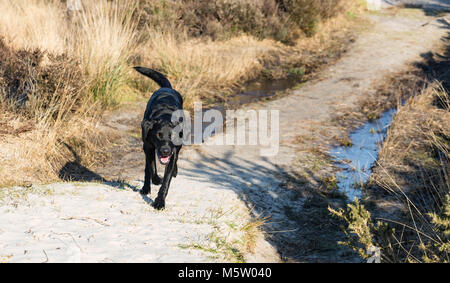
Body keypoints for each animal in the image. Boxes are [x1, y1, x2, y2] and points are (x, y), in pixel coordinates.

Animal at [134, 65, 185, 210]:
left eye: (173, 135)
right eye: (158, 134)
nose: (165, 151)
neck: (165, 115)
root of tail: (167, 87)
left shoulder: (173, 153)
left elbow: (166, 181)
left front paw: (160, 201)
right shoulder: (148, 147)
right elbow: (151, 168)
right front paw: (156, 180)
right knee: (147, 168)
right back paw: (146, 187)